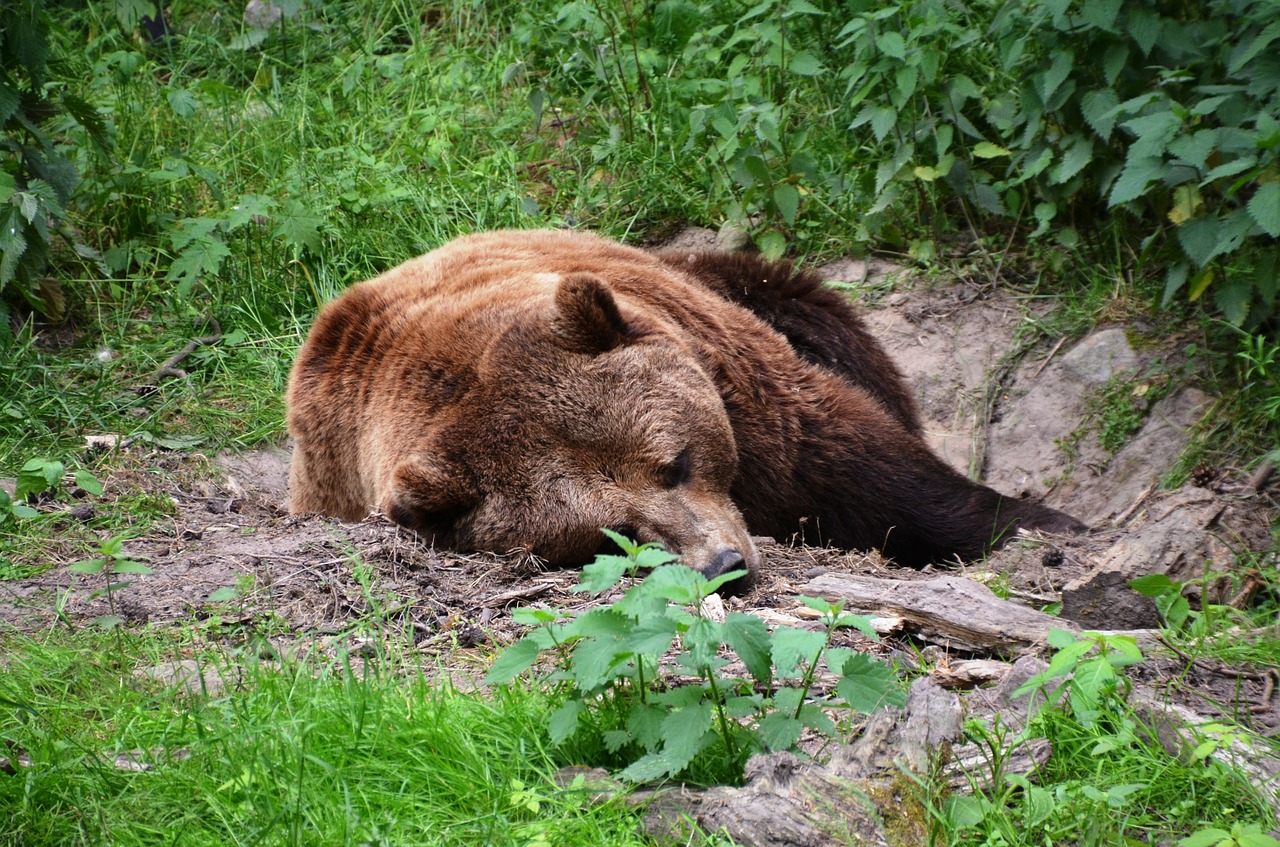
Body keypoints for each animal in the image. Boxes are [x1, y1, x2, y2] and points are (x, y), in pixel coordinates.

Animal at [285, 229, 1085, 588]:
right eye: (610, 533)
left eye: (673, 463)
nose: (726, 564)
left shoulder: (743, 390)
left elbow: (866, 465)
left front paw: (1040, 524)